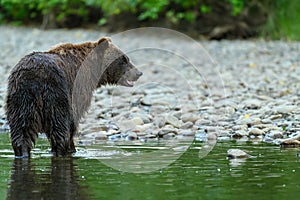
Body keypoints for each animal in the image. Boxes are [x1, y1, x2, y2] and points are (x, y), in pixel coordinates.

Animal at [5, 36, 143, 157]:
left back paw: (22, 152)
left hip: (21, 99)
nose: (138, 73)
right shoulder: (77, 90)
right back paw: (61, 150)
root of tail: (34, 77)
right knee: (59, 126)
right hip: (55, 94)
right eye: (124, 59)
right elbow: (72, 121)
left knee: (22, 129)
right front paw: (72, 147)